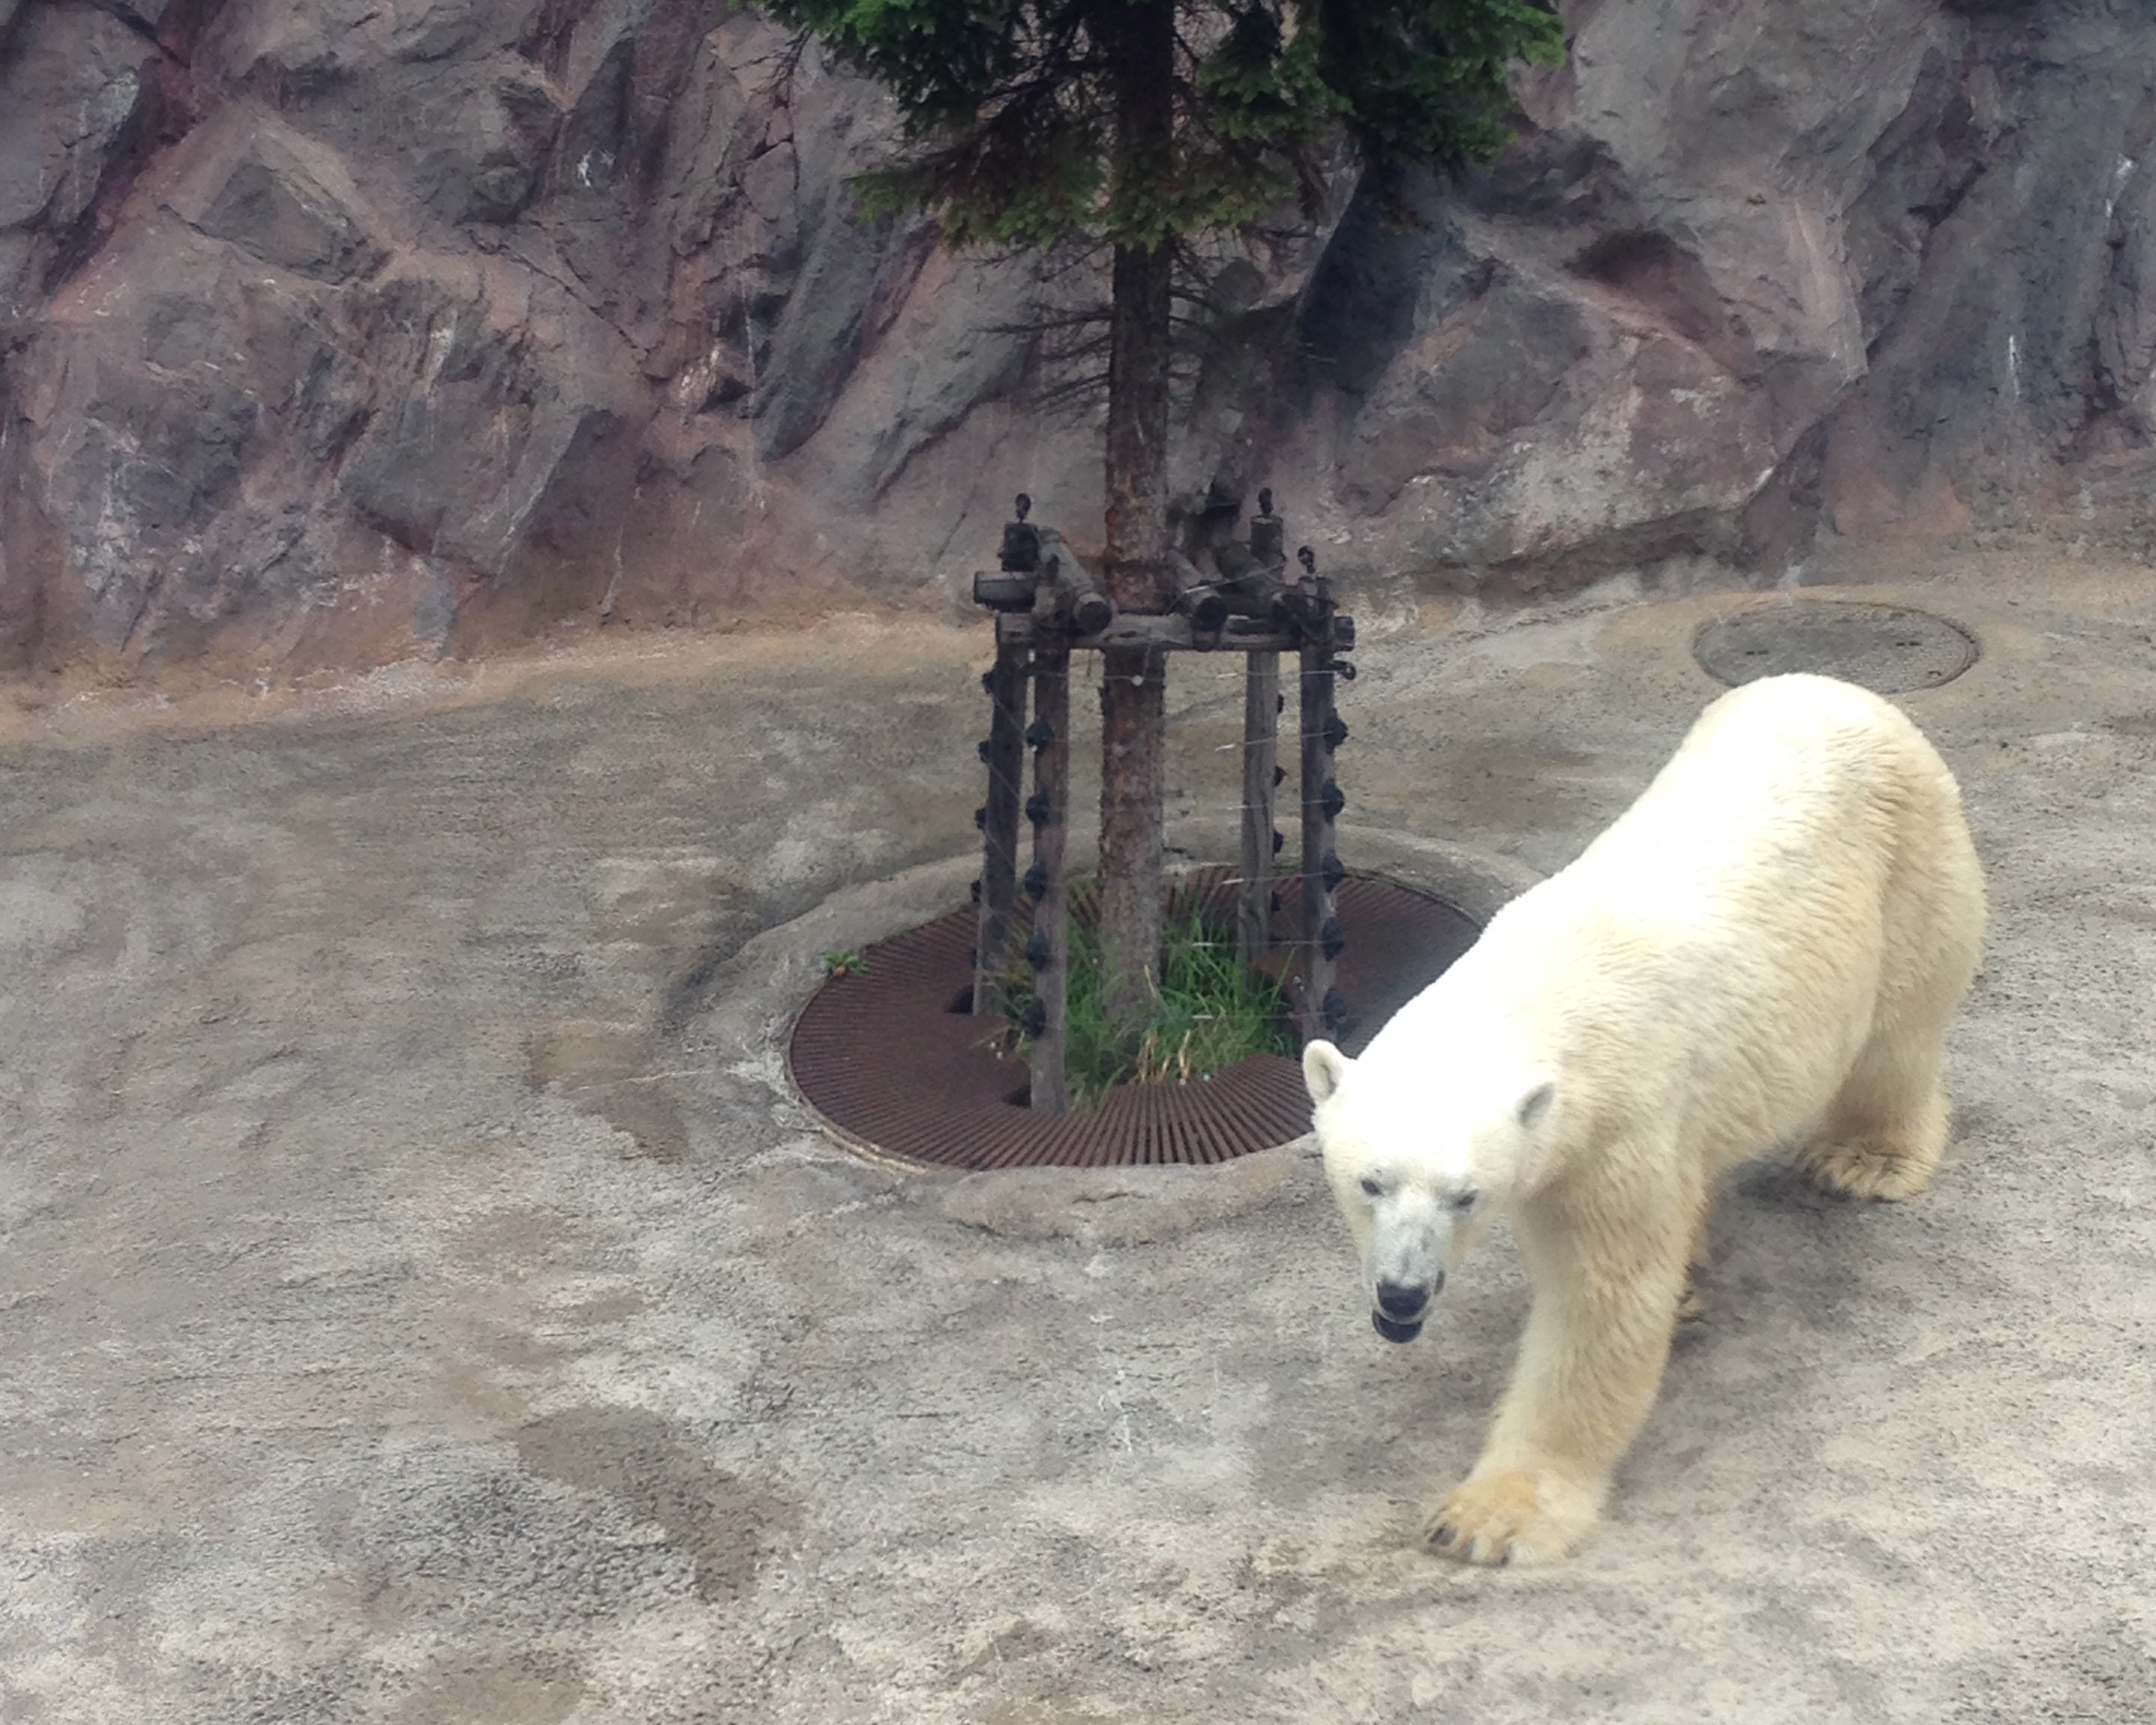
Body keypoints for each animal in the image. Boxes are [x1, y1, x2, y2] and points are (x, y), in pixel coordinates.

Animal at [1302, 672, 1986, 1565]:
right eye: (1369, 1182)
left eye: (1467, 1195)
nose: (1403, 1295)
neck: (1531, 991)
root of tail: (1845, 690)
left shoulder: (1614, 1125)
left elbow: (1600, 1302)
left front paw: (1486, 1516)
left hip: (1907, 862)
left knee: (1898, 1027)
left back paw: (1864, 1157)